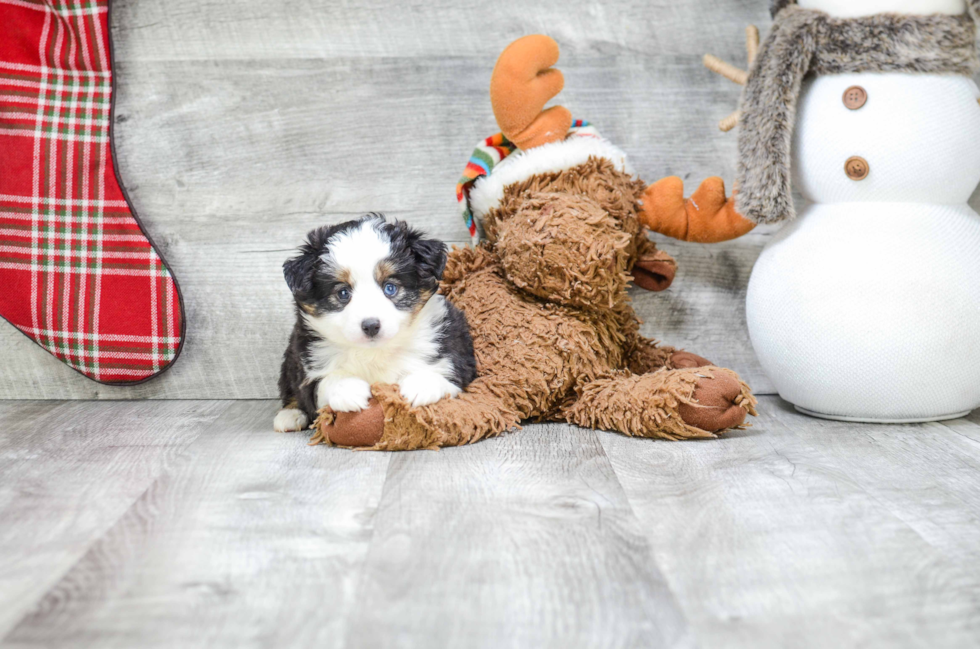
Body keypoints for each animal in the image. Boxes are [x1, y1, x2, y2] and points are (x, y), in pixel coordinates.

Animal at [274, 215, 476, 432]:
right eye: (343, 293)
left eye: (390, 288)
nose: (371, 325)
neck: (375, 352)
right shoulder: (306, 365)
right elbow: (323, 382)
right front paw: (347, 389)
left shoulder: (455, 353)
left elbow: (447, 374)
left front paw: (420, 384)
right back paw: (289, 415)